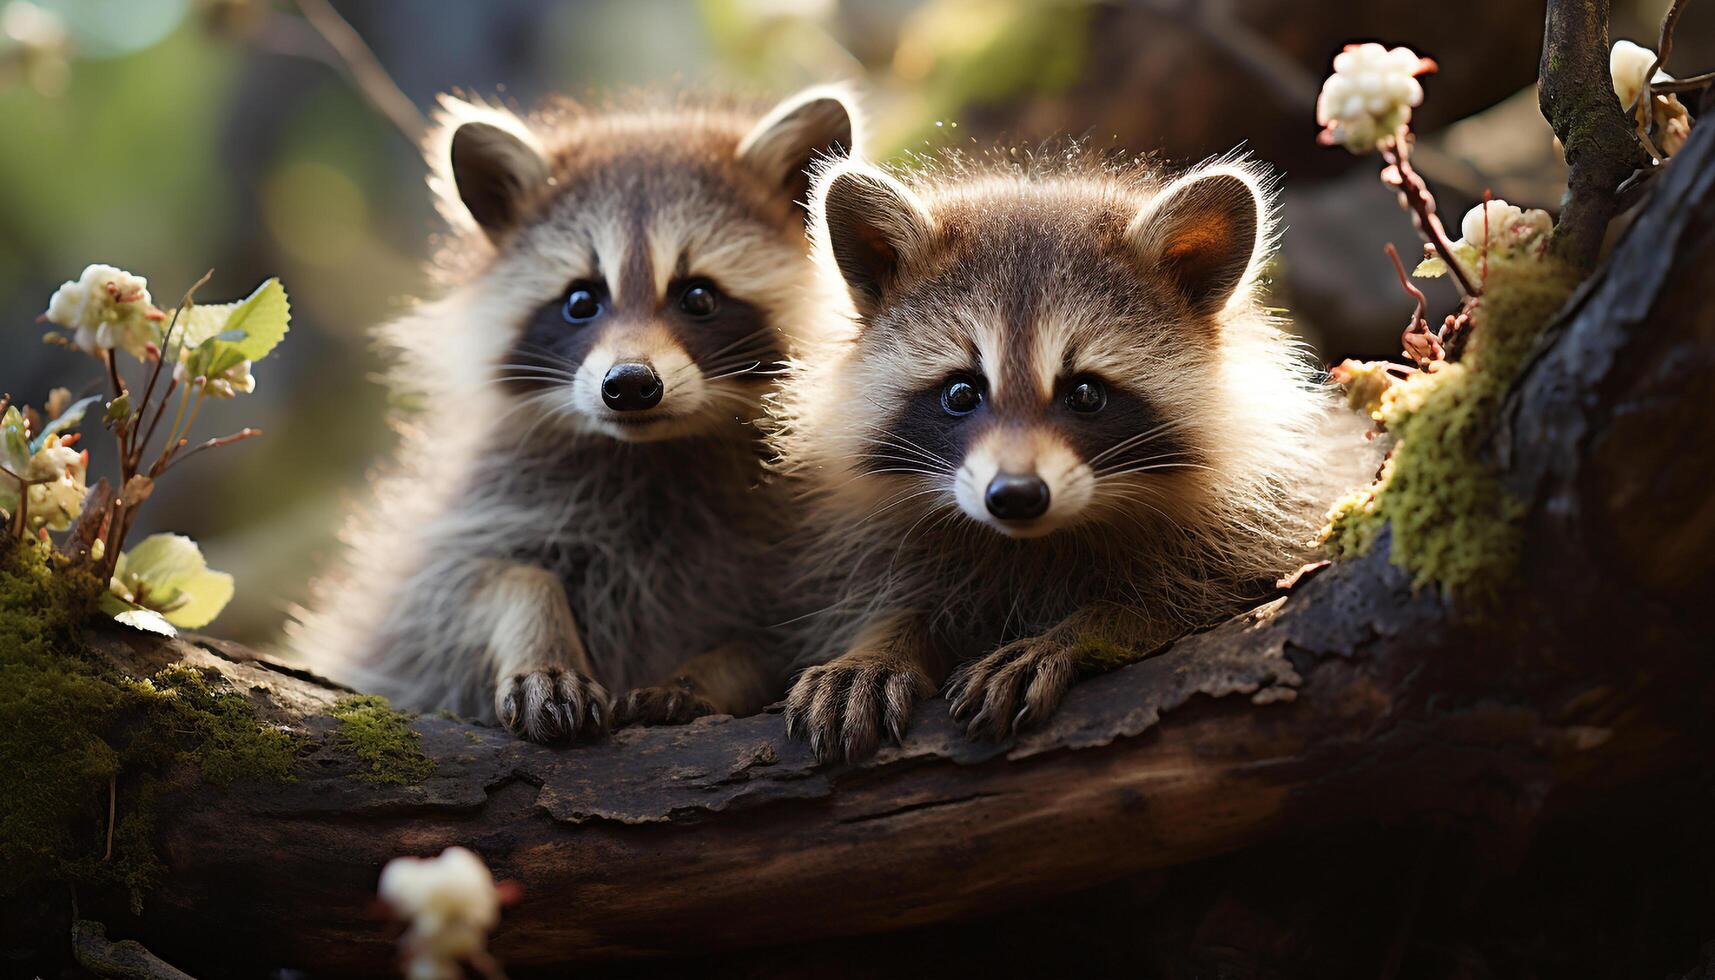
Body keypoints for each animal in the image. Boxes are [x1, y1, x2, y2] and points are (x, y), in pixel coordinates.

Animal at [291, 88, 871, 744]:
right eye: (580, 301)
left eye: (699, 297)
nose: (631, 386)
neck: (650, 452)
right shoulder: (475, 517)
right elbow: (461, 590)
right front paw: (539, 634)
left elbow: (777, 639)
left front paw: (706, 673)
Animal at [778, 157, 1365, 762]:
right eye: (961, 392)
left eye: (1085, 393)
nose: (1015, 496)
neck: (1034, 543)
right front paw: (878, 644)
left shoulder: (1276, 522)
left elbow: (1201, 600)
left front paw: (1087, 629)